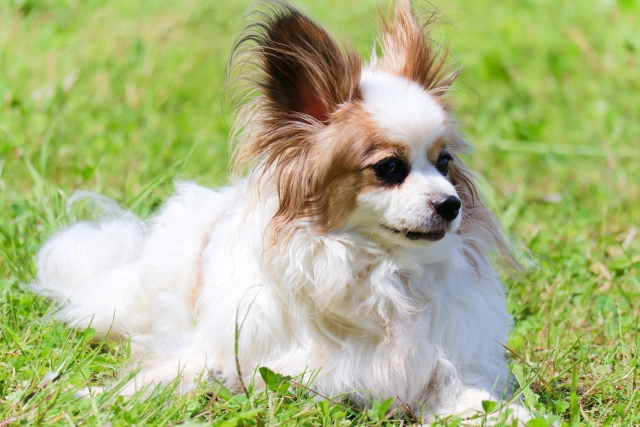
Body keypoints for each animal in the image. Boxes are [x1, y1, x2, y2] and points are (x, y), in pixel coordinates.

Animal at [36, 0, 536, 424]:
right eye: (390, 168)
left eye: (444, 162)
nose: (450, 204)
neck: (379, 273)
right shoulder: (232, 357)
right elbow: (167, 375)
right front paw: (96, 397)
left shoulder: (446, 370)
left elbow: (475, 397)